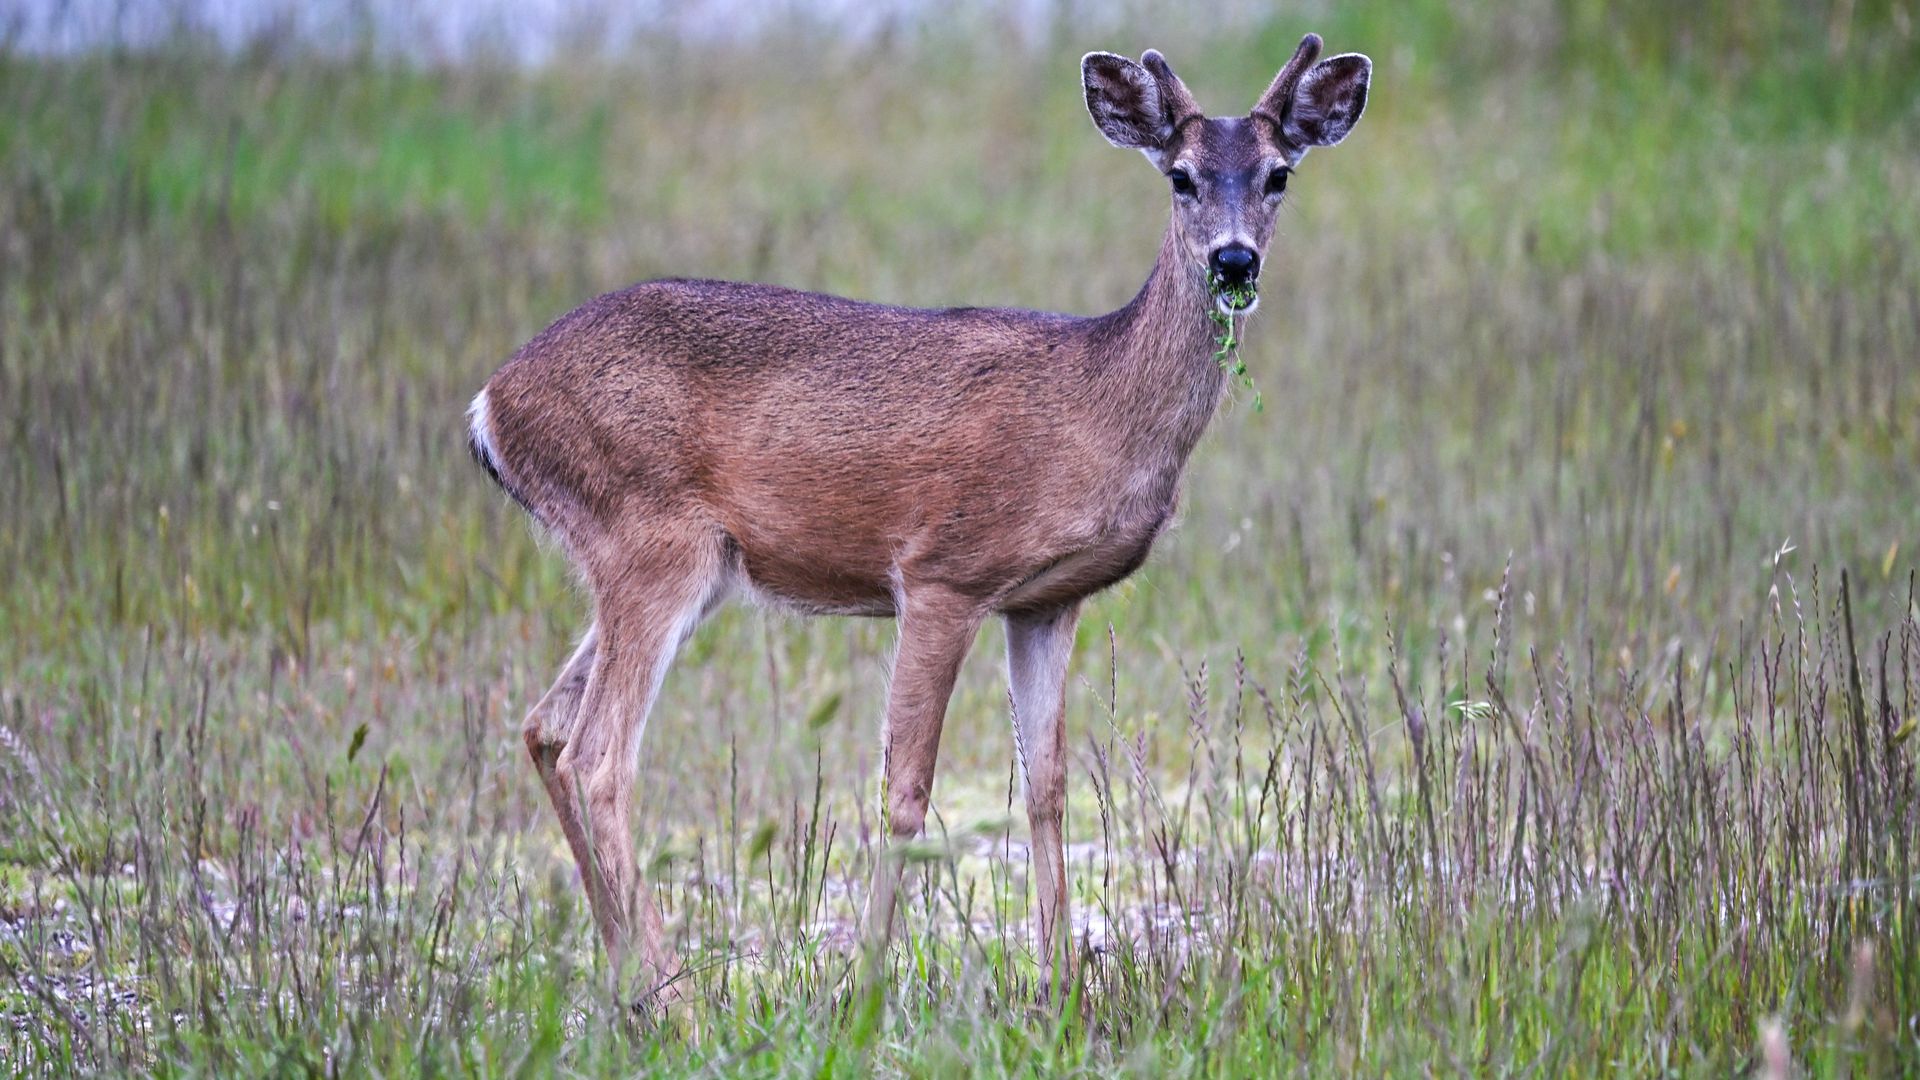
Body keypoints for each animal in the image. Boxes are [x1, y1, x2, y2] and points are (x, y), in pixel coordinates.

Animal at [467, 33, 1370, 1008]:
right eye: (1181, 176)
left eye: (1279, 174)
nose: (1234, 263)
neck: (1096, 404)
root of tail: (491, 405)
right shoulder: (944, 570)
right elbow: (905, 789)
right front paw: (863, 985)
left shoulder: (1046, 601)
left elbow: (1047, 783)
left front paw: (1058, 985)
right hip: (651, 541)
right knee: (599, 755)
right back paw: (677, 1001)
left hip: (669, 566)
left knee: (545, 727)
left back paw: (628, 984)